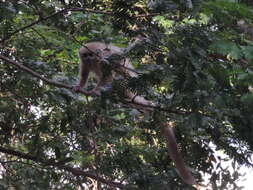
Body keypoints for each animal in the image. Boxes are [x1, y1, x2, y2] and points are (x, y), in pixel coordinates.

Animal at [72, 41, 196, 186]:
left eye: (90, 54)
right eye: (85, 55)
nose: (87, 58)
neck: (94, 60)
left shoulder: (103, 58)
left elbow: (108, 73)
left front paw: (96, 91)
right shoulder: (85, 63)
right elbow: (84, 74)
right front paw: (80, 86)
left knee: (118, 71)